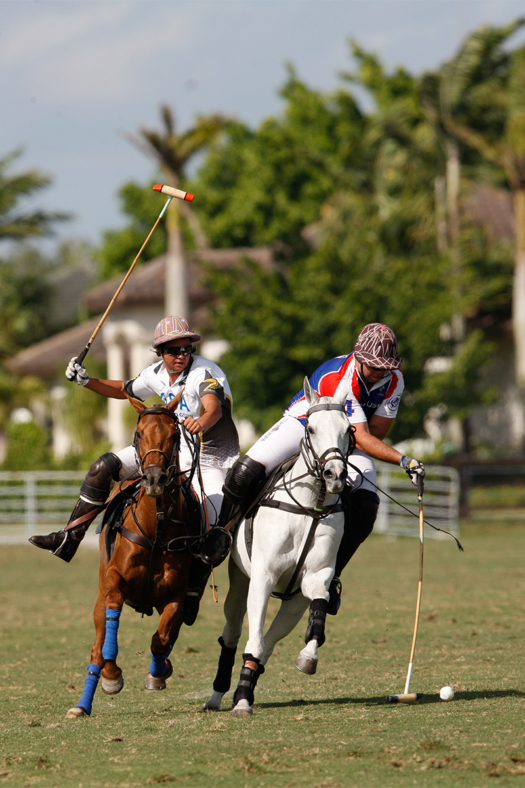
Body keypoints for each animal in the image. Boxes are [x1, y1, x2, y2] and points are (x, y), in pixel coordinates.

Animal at [65, 394, 196, 720]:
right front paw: (112, 676)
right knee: (97, 647)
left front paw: (158, 673)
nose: (154, 478)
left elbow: (160, 640)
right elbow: (108, 642)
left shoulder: (176, 596)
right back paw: (82, 704)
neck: (156, 529)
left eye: (174, 435)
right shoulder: (114, 583)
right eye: (138, 434)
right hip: (100, 591)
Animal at [202, 378, 352, 716]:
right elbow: (252, 638)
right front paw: (242, 702)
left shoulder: (314, 578)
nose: (335, 475)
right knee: (233, 633)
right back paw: (218, 695)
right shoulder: (263, 577)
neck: (310, 506)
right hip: (239, 581)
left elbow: (317, 615)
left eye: (348, 429)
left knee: (269, 641)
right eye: (311, 428)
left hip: (292, 603)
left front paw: (308, 658)